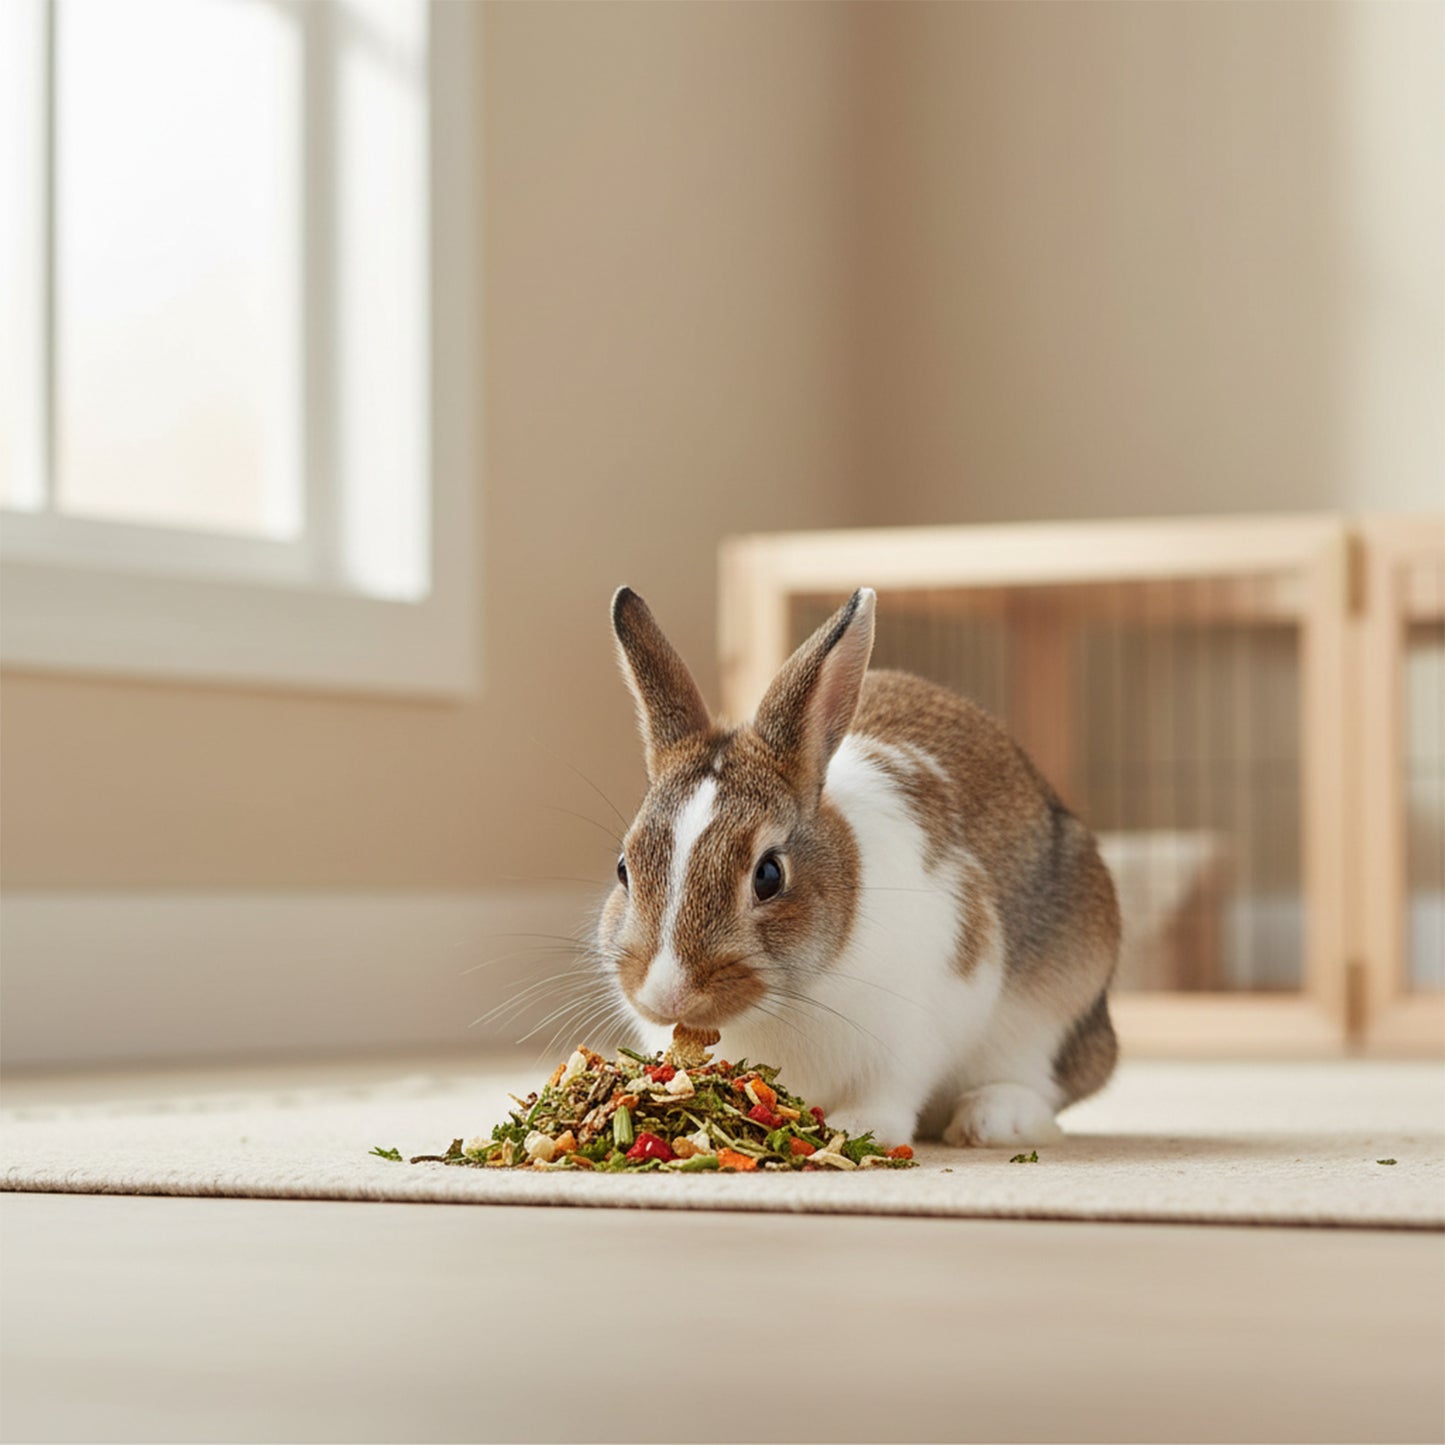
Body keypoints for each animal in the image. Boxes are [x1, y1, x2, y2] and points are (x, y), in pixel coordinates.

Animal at [595, 584, 1120, 1148]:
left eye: (769, 876)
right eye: (624, 869)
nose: (667, 994)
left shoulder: (912, 1033)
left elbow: (888, 1093)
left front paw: (855, 1129)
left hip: (1056, 999)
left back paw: (993, 1119)